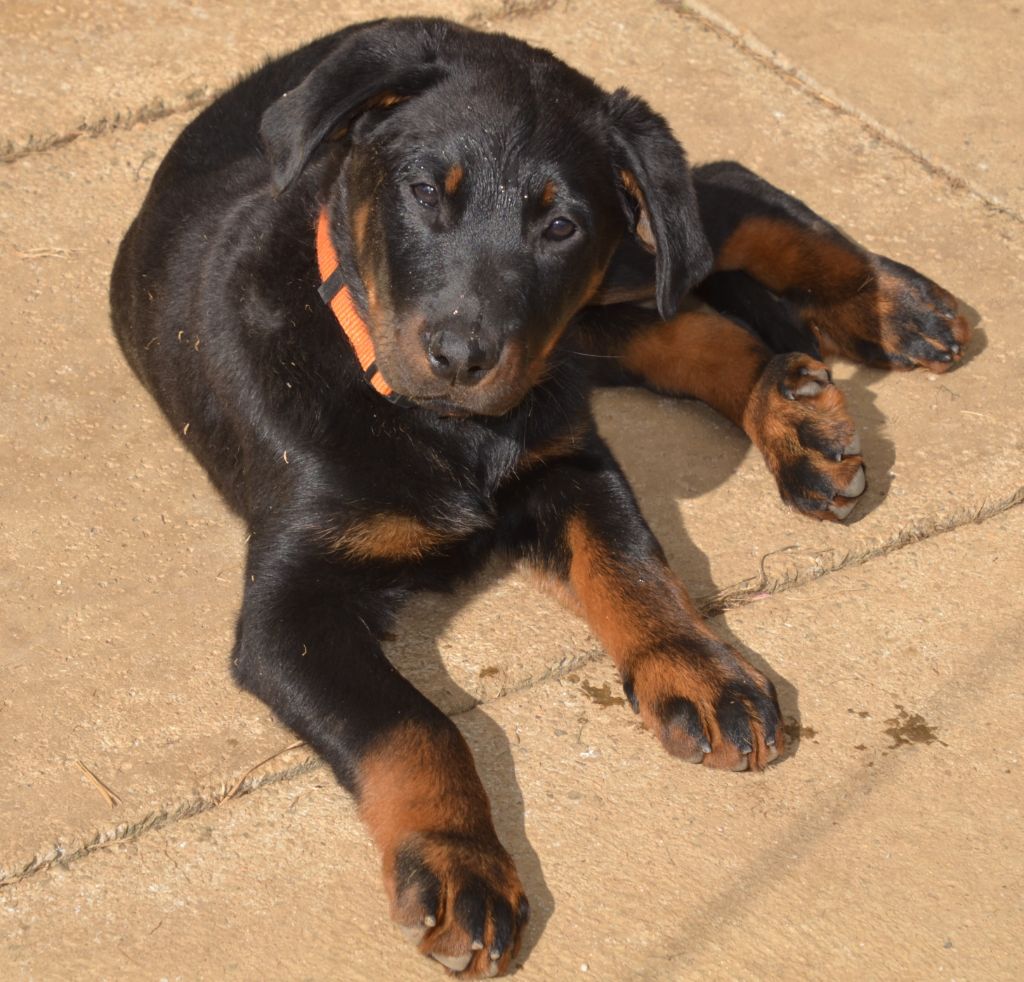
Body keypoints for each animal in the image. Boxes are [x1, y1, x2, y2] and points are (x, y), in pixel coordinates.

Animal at [110, 17, 970, 977]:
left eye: (559, 225)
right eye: (423, 192)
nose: (460, 354)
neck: (439, 422)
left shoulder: (571, 464)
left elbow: (634, 568)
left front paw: (698, 668)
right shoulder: (289, 606)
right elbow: (412, 723)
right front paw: (459, 865)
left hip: (619, 268)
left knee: (717, 206)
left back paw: (887, 308)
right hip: (595, 313)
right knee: (687, 315)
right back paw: (801, 406)